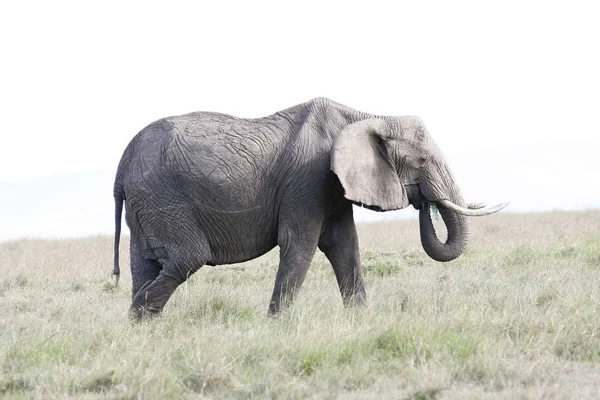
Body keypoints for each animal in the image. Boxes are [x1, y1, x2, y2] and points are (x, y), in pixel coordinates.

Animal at [113, 97, 506, 318]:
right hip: (163, 198)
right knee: (187, 257)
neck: (367, 117)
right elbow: (300, 244)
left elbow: (345, 246)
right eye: (422, 160)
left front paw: (360, 321)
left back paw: (139, 332)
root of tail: (122, 162)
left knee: (143, 265)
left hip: (146, 204)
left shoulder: (332, 185)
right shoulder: (308, 179)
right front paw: (277, 327)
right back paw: (139, 321)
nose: (424, 201)